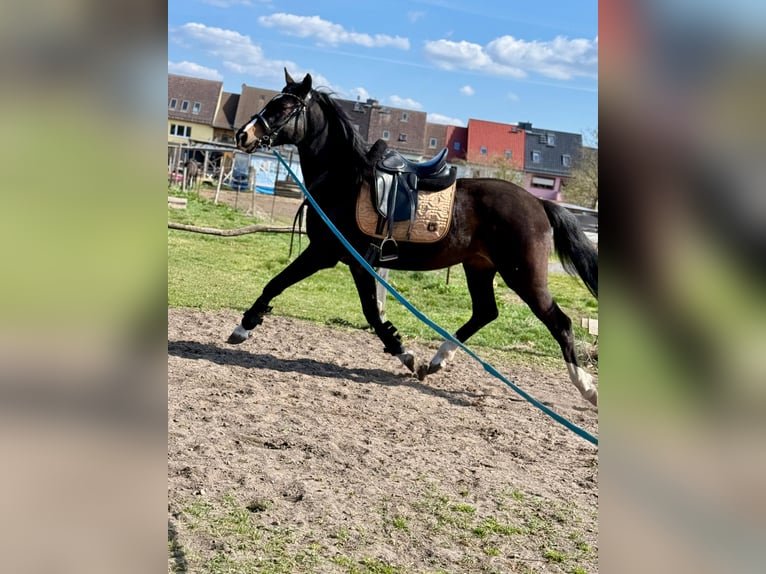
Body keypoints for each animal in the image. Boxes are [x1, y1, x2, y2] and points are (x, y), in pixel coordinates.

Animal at [229, 69, 599, 406]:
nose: (242, 135)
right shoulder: (355, 262)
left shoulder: (324, 253)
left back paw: (586, 387)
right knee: (485, 312)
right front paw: (405, 354)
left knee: (560, 322)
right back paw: (437, 361)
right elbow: (370, 312)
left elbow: (278, 284)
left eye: (284, 107)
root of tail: (538, 203)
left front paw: (243, 327)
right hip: (479, 267)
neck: (344, 180)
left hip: (523, 275)